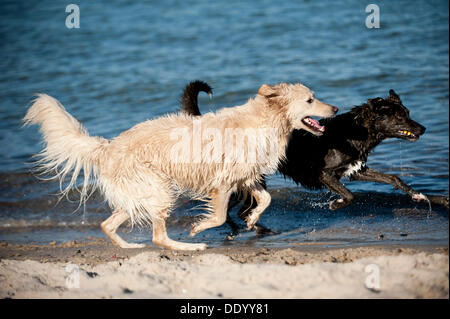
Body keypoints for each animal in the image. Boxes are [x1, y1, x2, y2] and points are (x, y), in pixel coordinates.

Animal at [180, 82, 450, 236]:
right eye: (400, 117)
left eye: (408, 113)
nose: (423, 128)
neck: (356, 131)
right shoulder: (324, 174)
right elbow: (350, 196)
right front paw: (335, 204)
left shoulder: (356, 169)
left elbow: (394, 178)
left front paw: (420, 196)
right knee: (232, 211)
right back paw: (240, 229)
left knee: (242, 211)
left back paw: (256, 227)